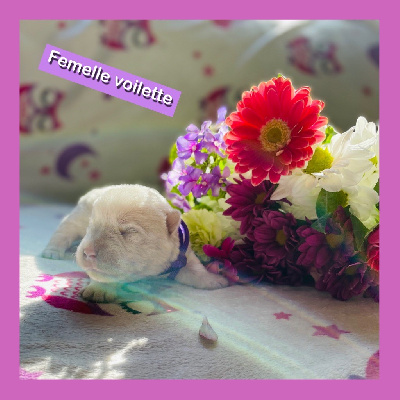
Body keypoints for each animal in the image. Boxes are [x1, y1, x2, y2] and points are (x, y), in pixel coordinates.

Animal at [42, 184, 228, 302]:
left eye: (129, 231)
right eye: (92, 225)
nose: (87, 252)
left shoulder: (181, 253)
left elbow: (194, 267)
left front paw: (214, 280)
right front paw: (99, 290)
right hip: (78, 215)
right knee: (65, 229)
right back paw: (52, 251)